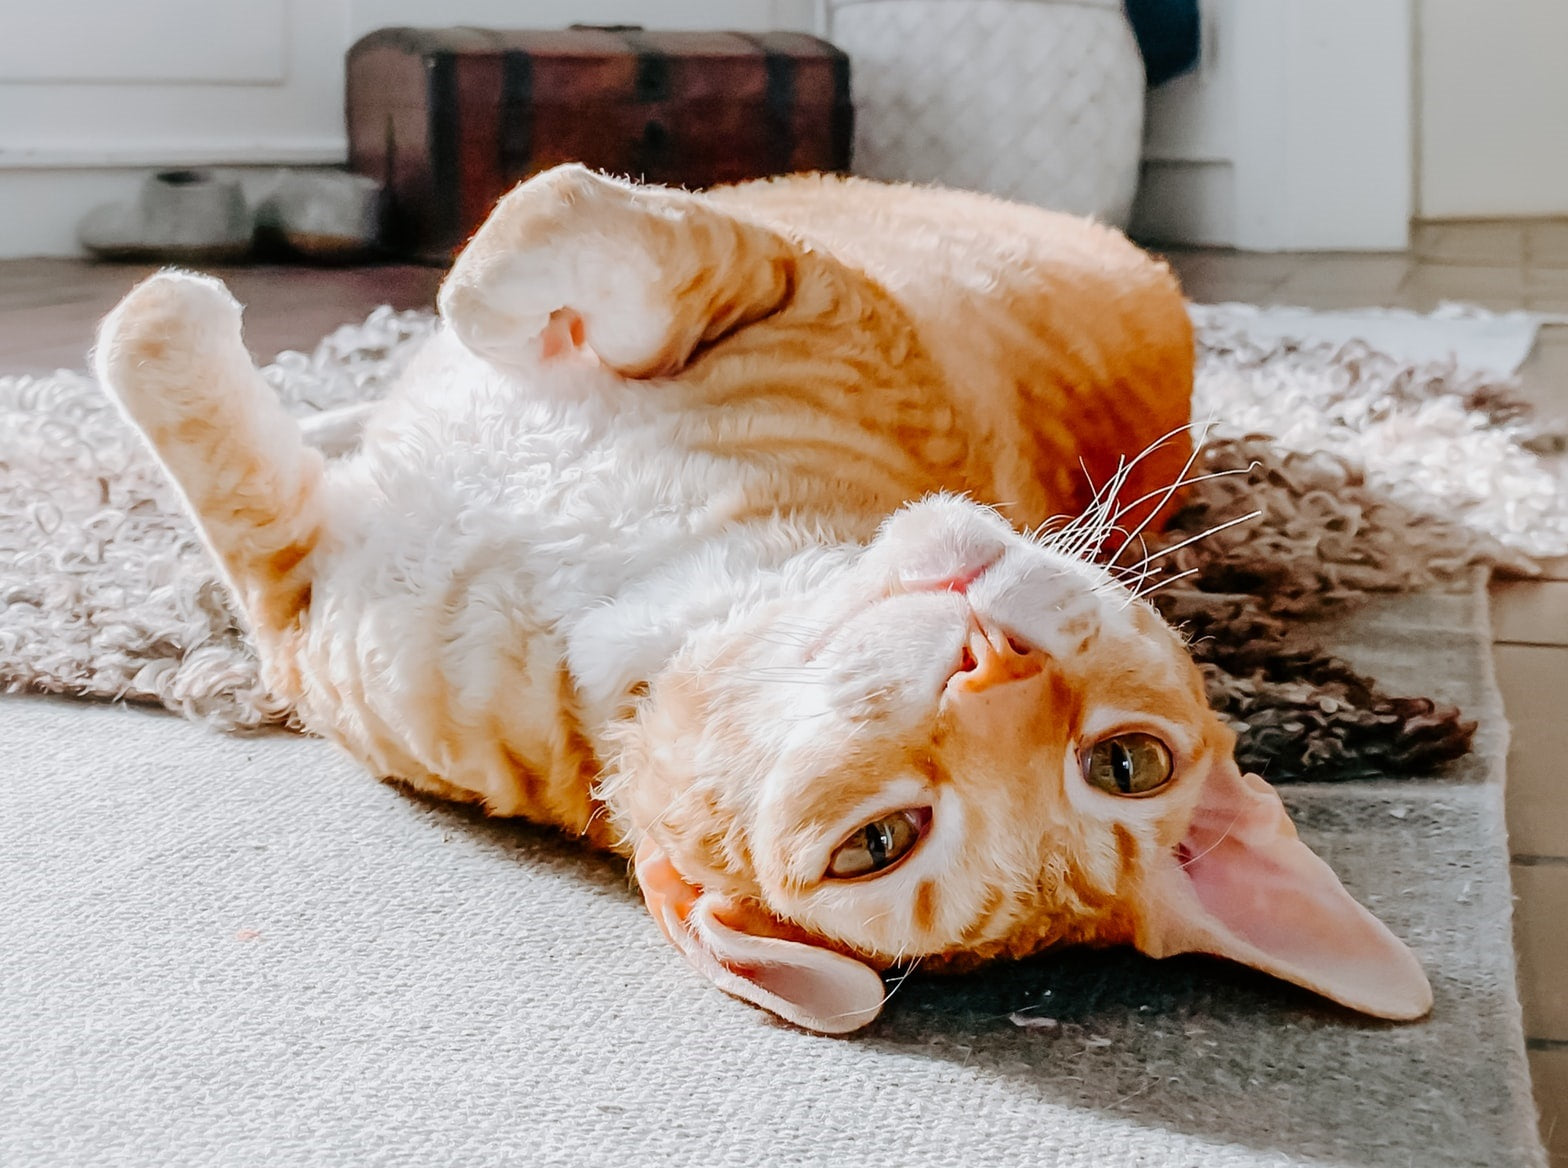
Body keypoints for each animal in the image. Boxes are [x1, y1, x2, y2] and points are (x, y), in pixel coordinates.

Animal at [91, 161, 1430, 1028]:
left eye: (875, 846)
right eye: (1131, 761)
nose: (988, 666)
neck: (645, 591)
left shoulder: (294, 600)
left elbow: (206, 395)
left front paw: (172, 312)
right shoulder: (797, 282)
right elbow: (546, 228)